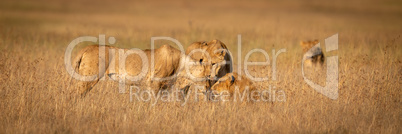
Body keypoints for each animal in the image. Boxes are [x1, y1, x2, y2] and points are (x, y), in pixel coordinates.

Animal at [71, 44, 210, 97]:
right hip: (90, 78)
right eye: (208, 76)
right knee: (76, 93)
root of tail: (86, 47)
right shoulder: (154, 83)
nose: (208, 89)